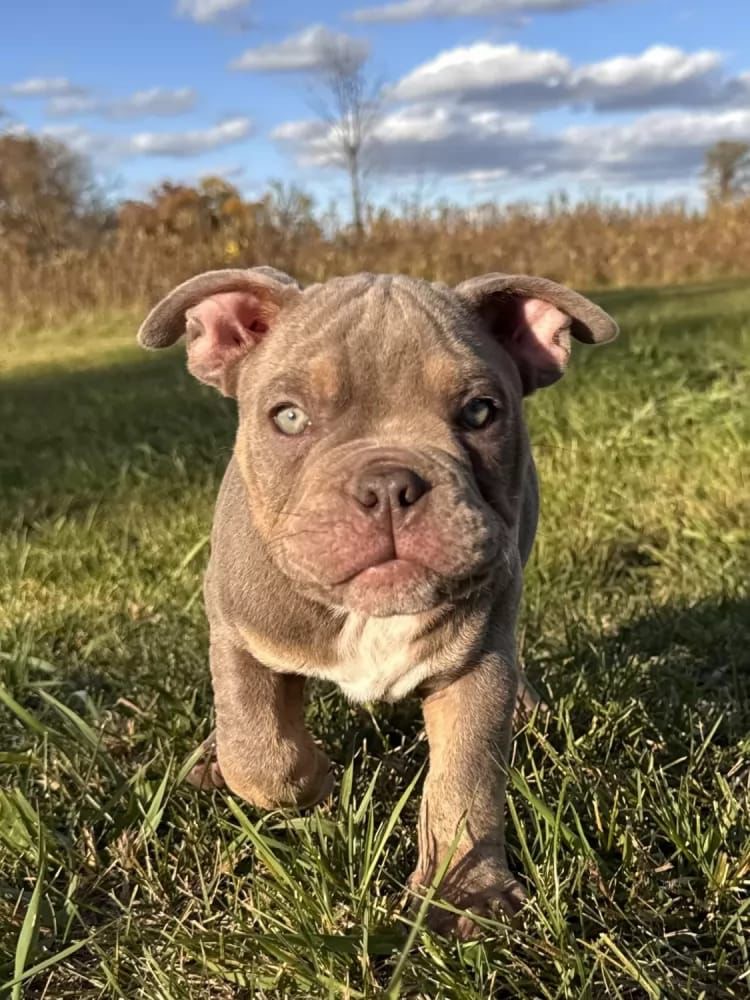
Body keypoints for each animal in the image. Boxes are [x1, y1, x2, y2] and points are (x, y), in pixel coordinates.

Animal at [138, 267, 617, 937]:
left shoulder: (477, 667)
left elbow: (465, 782)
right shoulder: (236, 630)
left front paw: (464, 895)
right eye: (289, 418)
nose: (391, 484)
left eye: (480, 412)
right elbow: (258, 748)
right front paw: (313, 781)